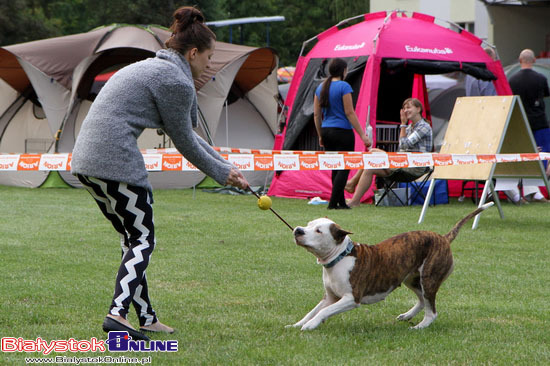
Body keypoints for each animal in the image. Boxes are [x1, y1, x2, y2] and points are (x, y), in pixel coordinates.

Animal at [288, 202, 496, 330]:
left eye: (318, 231)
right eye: (308, 224)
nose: (298, 230)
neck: (340, 257)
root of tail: (443, 238)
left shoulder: (351, 298)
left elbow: (324, 311)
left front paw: (310, 325)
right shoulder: (330, 297)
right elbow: (314, 310)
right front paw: (297, 324)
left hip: (429, 277)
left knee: (432, 310)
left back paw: (421, 326)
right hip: (412, 279)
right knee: (423, 300)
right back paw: (407, 316)